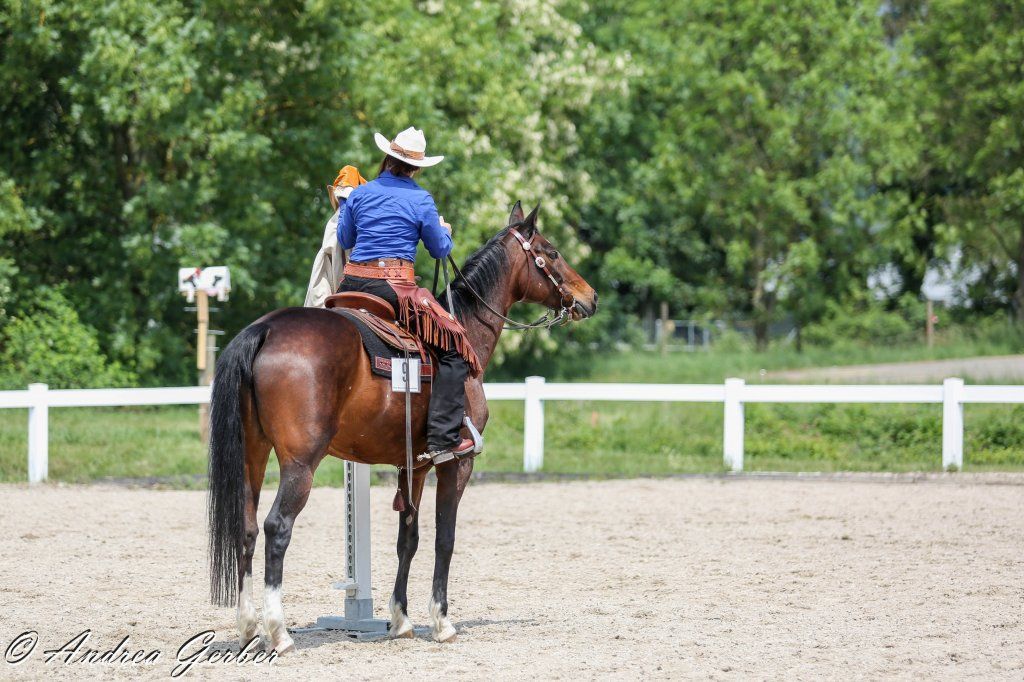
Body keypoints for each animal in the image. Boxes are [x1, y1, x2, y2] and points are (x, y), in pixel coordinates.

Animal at [207, 201, 598, 652]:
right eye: (552, 252)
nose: (590, 296)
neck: (466, 334)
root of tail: (265, 330)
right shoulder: (456, 463)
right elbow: (445, 536)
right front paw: (441, 620)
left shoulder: (414, 466)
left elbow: (407, 539)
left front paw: (401, 619)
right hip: (299, 463)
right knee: (276, 528)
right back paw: (278, 631)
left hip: (252, 454)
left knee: (248, 527)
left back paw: (248, 625)